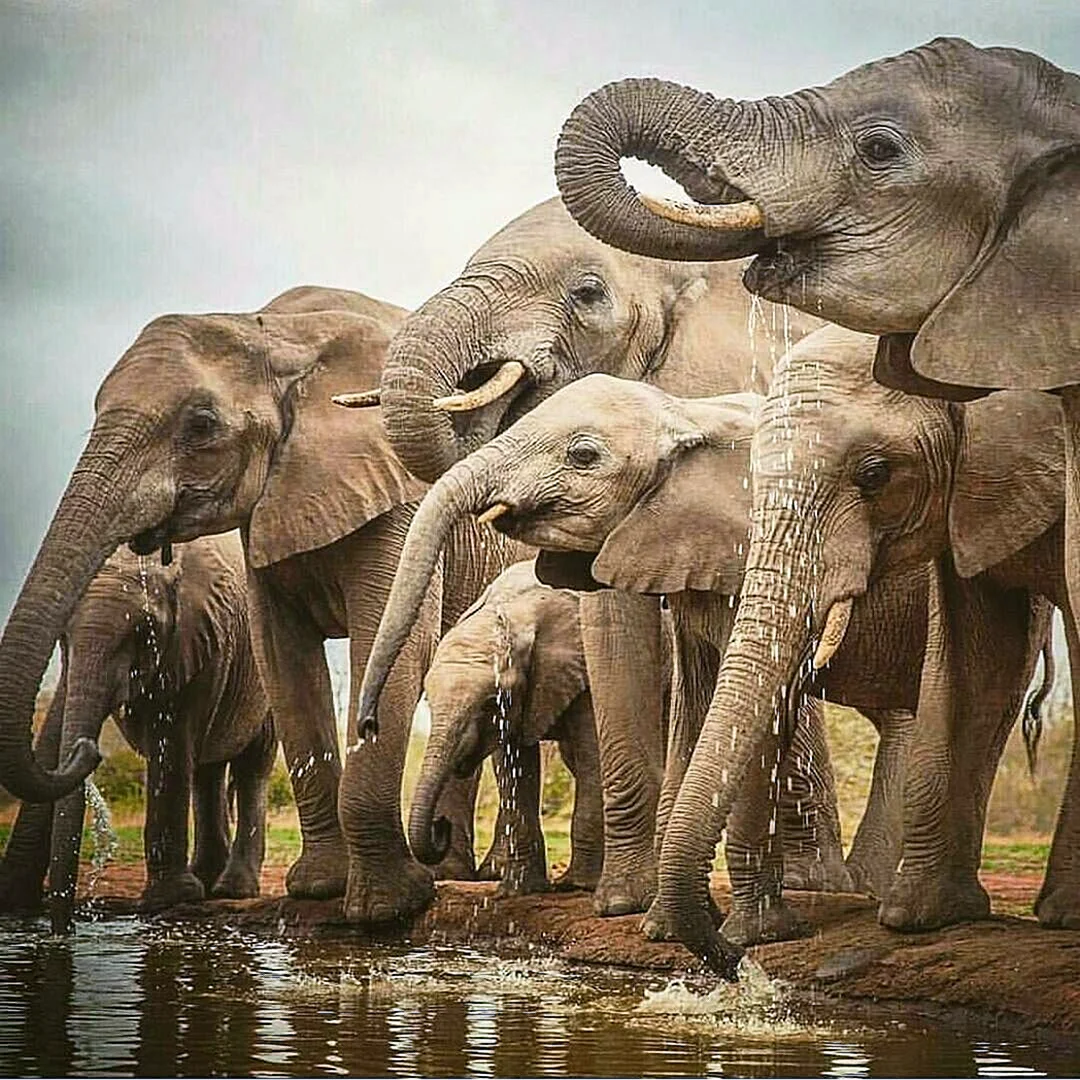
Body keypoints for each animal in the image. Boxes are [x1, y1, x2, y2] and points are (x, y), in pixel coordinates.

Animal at [0, 533, 276, 932]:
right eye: (63, 636)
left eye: (141, 632)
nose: (89, 749)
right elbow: (55, 728)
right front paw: (14, 903)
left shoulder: (196, 637)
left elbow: (171, 744)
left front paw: (168, 900)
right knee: (206, 770)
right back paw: (207, 882)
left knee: (252, 765)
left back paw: (231, 890)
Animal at [416, 559, 603, 896]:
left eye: (491, 703)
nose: (440, 825)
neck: (516, 610)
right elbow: (514, 764)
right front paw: (517, 891)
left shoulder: (586, 668)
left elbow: (593, 751)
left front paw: (579, 886)